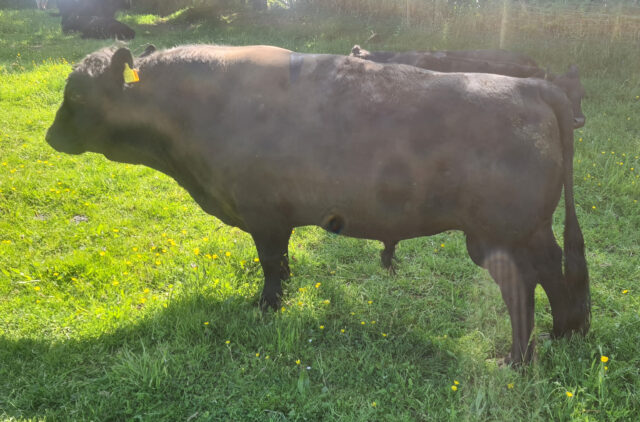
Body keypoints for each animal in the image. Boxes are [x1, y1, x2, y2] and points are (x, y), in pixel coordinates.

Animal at [46, 45, 590, 365]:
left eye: (77, 94)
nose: (50, 136)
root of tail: (534, 86)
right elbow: (282, 264)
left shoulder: (264, 215)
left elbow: (271, 265)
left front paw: (266, 307)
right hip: (526, 232)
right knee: (555, 276)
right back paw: (564, 335)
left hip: (503, 236)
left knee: (525, 288)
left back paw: (520, 358)